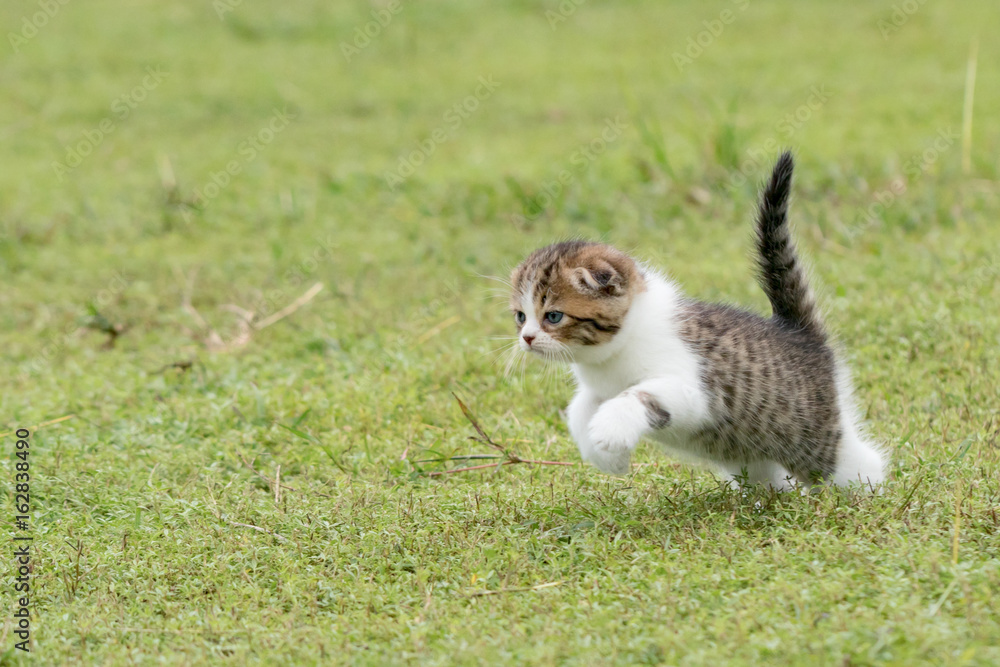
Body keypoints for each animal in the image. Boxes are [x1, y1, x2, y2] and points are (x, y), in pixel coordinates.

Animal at [512, 154, 888, 494]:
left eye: (553, 316)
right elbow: (578, 410)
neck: (610, 357)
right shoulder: (597, 388)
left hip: (814, 439)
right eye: (520, 316)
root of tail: (796, 330)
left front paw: (610, 430)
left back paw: (868, 495)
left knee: (857, 465)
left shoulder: (696, 391)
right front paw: (608, 457)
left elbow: (639, 393)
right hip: (751, 453)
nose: (527, 338)